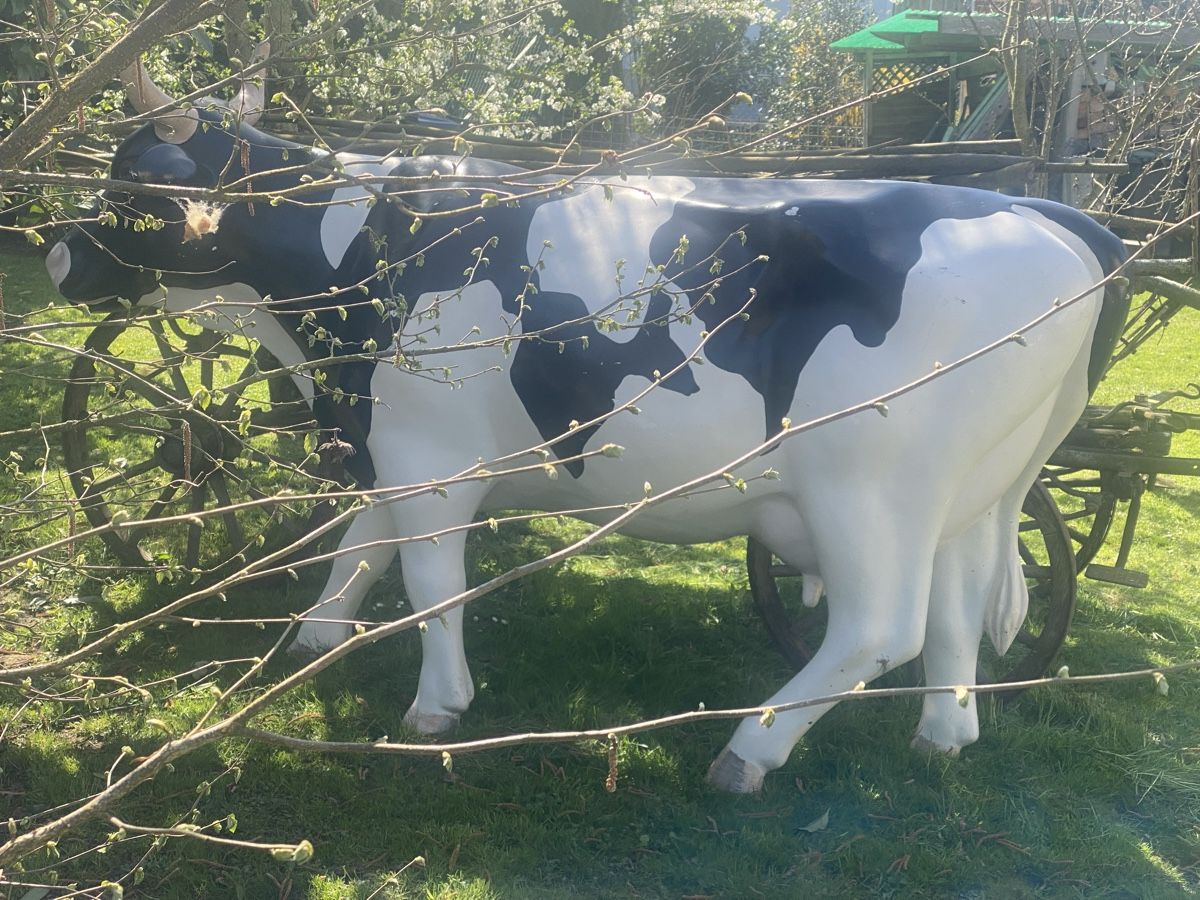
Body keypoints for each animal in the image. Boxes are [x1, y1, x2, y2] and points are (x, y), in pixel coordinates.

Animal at [45, 54, 1129, 793]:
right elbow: (364, 542)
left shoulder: (431, 450)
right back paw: (942, 735)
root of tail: (1047, 213)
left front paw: (436, 705)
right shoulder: (394, 441)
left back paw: (750, 748)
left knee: (881, 625)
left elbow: (429, 578)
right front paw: (314, 638)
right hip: (969, 485)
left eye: (133, 184)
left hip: (869, 485)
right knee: (957, 604)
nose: (56, 255)